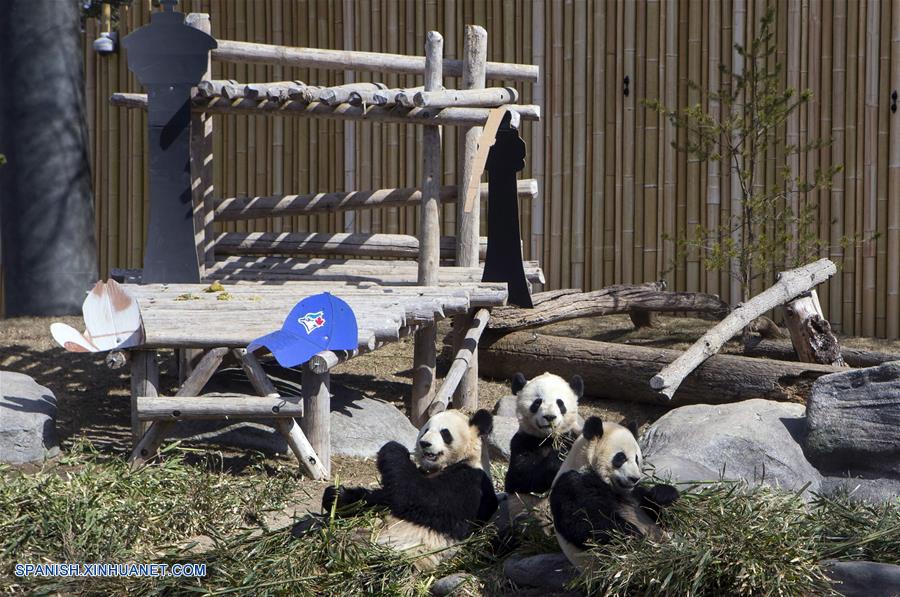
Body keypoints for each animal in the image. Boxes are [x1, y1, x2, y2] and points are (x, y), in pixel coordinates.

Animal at [320, 408, 496, 572]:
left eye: (444, 433)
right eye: (425, 430)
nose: (424, 443)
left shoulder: (469, 481)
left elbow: (418, 497)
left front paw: (393, 447)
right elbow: (384, 496)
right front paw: (335, 496)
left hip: (406, 556)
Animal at [548, 414, 684, 568]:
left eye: (637, 459)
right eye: (621, 457)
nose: (634, 478)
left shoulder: (633, 494)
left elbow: (656, 512)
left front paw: (663, 494)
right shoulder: (572, 485)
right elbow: (586, 524)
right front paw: (635, 537)